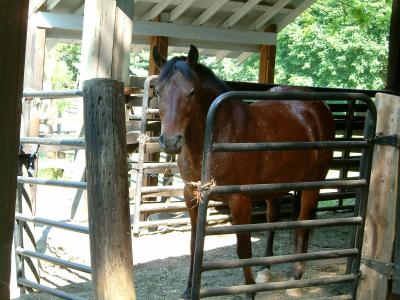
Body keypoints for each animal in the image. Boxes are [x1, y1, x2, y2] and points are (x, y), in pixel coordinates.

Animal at [153, 45, 334, 300]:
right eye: (158, 92)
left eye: (192, 92)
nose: (170, 142)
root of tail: (318, 106)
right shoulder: (191, 196)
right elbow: (194, 244)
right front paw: (189, 289)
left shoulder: (240, 200)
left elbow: (243, 248)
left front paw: (249, 292)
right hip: (275, 187)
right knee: (272, 219)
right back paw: (266, 269)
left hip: (313, 183)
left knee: (303, 222)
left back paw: (296, 277)